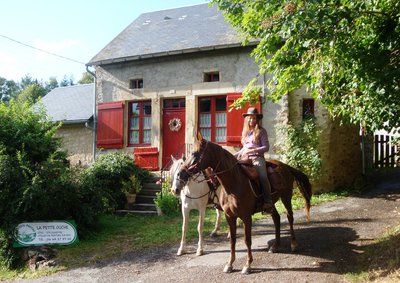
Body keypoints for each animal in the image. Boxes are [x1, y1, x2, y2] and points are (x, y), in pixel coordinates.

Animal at [178, 135, 312, 276]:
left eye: (194, 153)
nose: (181, 174)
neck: (234, 184)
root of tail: (285, 166)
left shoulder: (246, 217)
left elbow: (247, 241)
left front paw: (247, 265)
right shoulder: (229, 216)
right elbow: (232, 240)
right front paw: (229, 264)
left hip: (286, 197)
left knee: (290, 217)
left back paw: (293, 244)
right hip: (271, 204)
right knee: (277, 218)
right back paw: (275, 246)